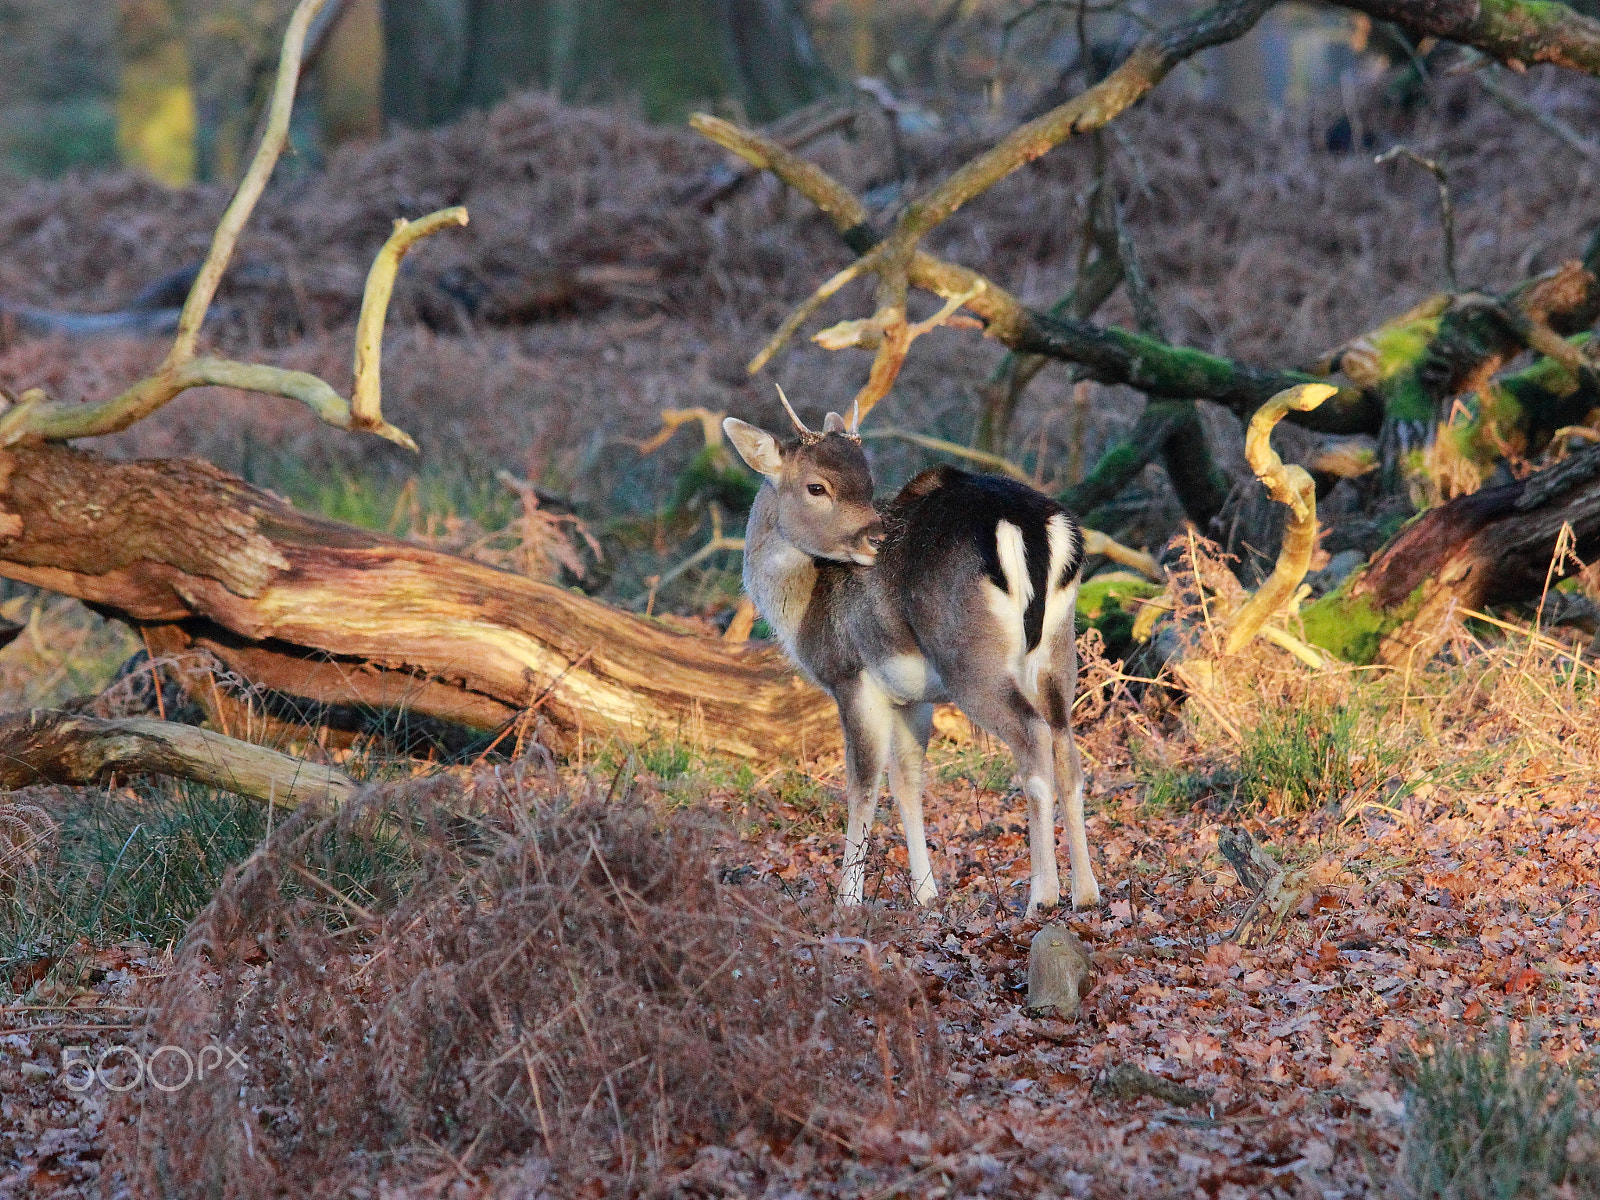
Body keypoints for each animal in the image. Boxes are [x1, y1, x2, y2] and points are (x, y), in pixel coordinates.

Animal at [722, 389, 1101, 915]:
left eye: (866, 482)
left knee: (1033, 737)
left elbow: (862, 784)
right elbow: (907, 782)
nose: (876, 537)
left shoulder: (851, 676)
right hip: (1059, 650)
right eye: (818, 486)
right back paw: (1087, 893)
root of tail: (1029, 527)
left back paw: (1041, 897)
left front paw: (847, 900)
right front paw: (926, 894)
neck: (801, 611)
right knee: (1067, 747)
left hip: (971, 661)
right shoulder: (912, 697)